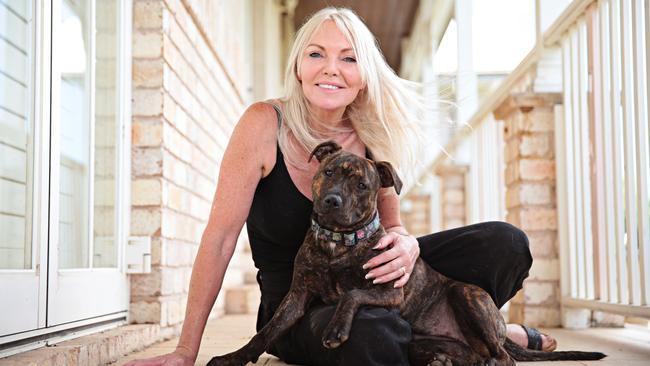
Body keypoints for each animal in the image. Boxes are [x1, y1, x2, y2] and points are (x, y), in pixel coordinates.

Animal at [208, 141, 604, 366]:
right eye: (329, 171)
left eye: (362, 185)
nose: (332, 200)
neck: (338, 243)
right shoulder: (297, 297)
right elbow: (266, 331)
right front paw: (233, 358)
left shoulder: (391, 291)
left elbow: (352, 294)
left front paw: (336, 328)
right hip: (426, 341)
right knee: (474, 355)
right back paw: (445, 360)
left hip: (467, 294)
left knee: (504, 358)